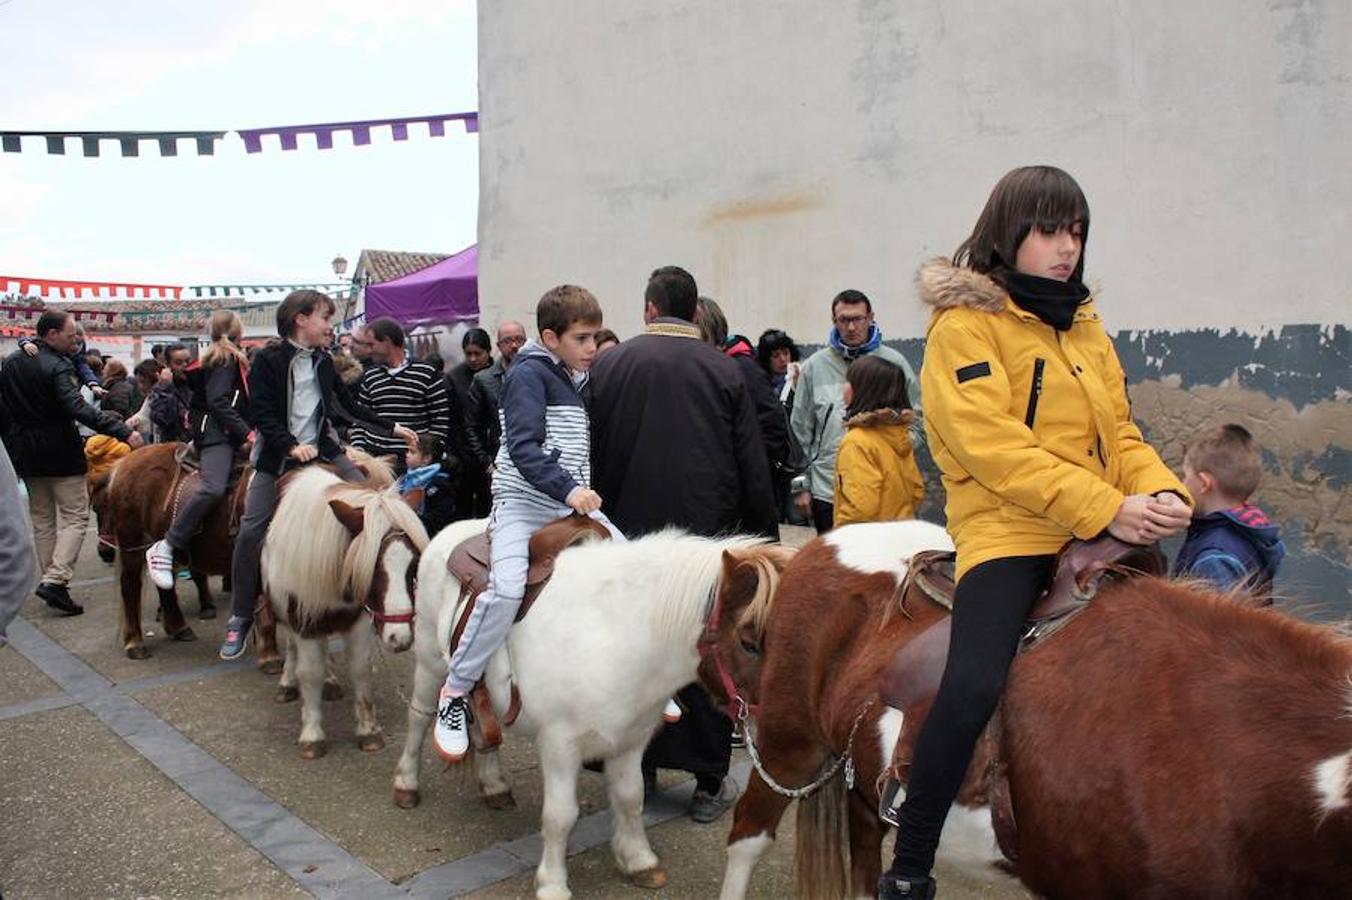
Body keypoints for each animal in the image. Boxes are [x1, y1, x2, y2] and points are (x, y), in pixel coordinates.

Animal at [263, 462, 427, 756]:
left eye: (414, 564)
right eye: (373, 567)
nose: (400, 638)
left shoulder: (358, 619)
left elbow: (360, 670)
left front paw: (368, 730)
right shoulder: (304, 621)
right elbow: (310, 673)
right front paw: (312, 734)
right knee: (293, 646)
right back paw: (288, 682)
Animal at [392, 518, 789, 897]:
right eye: (749, 643)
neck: (617, 635)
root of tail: (452, 531)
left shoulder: (632, 740)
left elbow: (631, 797)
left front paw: (639, 860)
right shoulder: (560, 745)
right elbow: (560, 816)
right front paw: (552, 884)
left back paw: (494, 786)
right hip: (430, 661)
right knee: (419, 717)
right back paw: (407, 783)